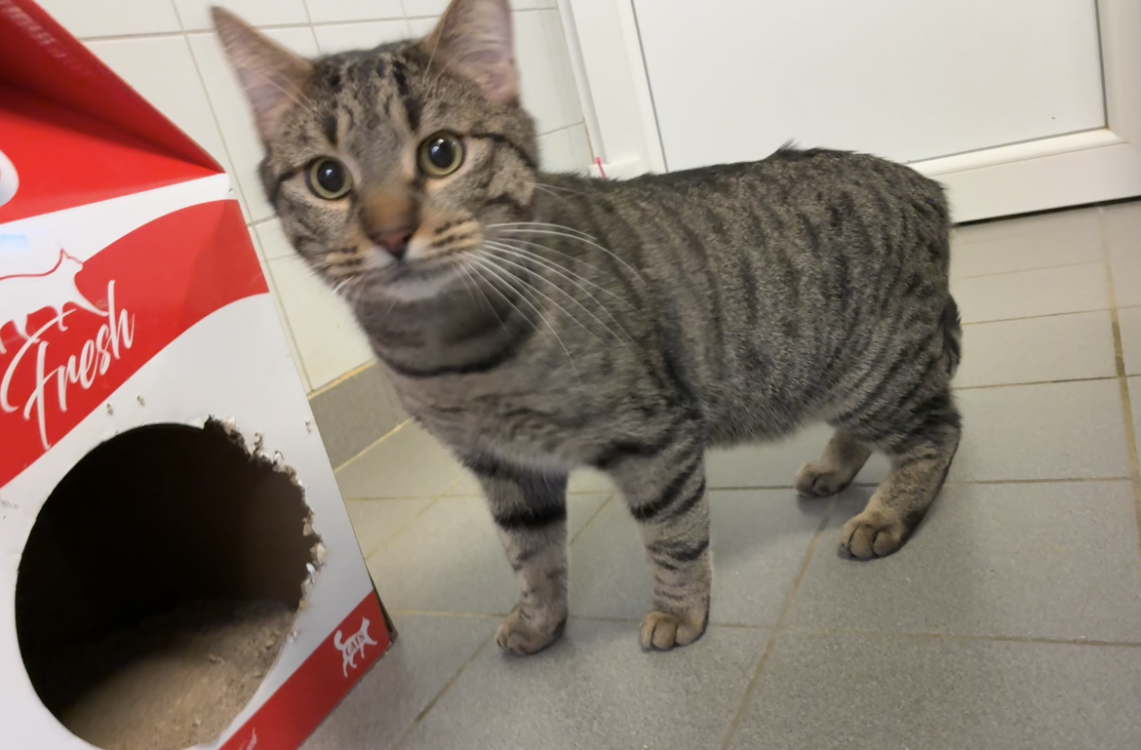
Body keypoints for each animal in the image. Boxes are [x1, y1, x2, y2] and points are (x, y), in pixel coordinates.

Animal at [214, 0, 961, 655]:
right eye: (329, 178)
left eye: (440, 153)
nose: (391, 233)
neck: (451, 353)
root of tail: (925, 184)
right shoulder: (506, 469)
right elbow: (531, 556)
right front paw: (540, 622)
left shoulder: (655, 439)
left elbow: (672, 535)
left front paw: (678, 613)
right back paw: (834, 469)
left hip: (873, 371)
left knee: (939, 432)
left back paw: (886, 514)